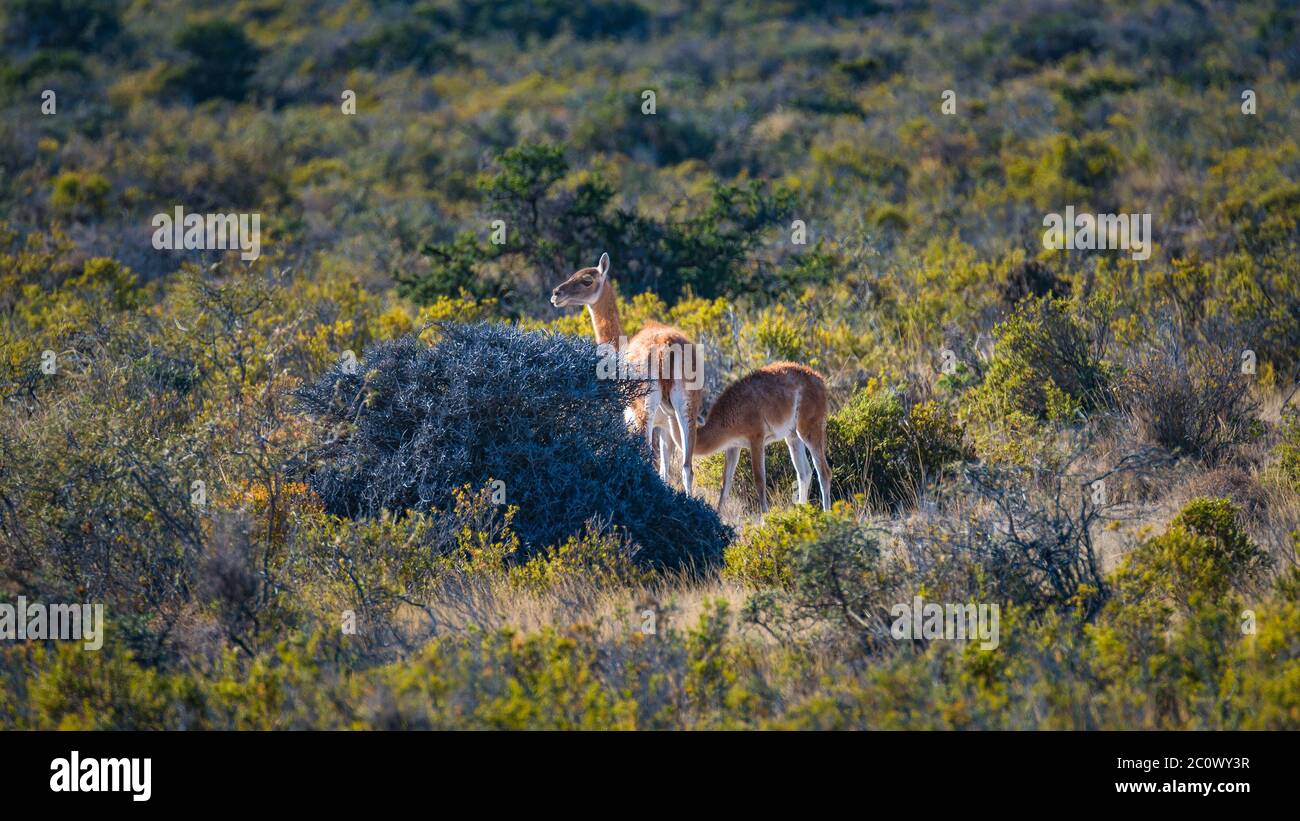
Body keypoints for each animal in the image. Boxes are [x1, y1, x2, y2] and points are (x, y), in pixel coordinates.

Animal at [691, 361, 832, 509]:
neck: (730, 415)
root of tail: (820, 380)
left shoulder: (756, 438)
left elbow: (759, 481)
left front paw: (764, 514)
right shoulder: (733, 446)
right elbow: (726, 483)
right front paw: (718, 512)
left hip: (810, 427)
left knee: (824, 473)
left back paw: (826, 512)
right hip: (792, 435)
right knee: (805, 473)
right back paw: (801, 511)